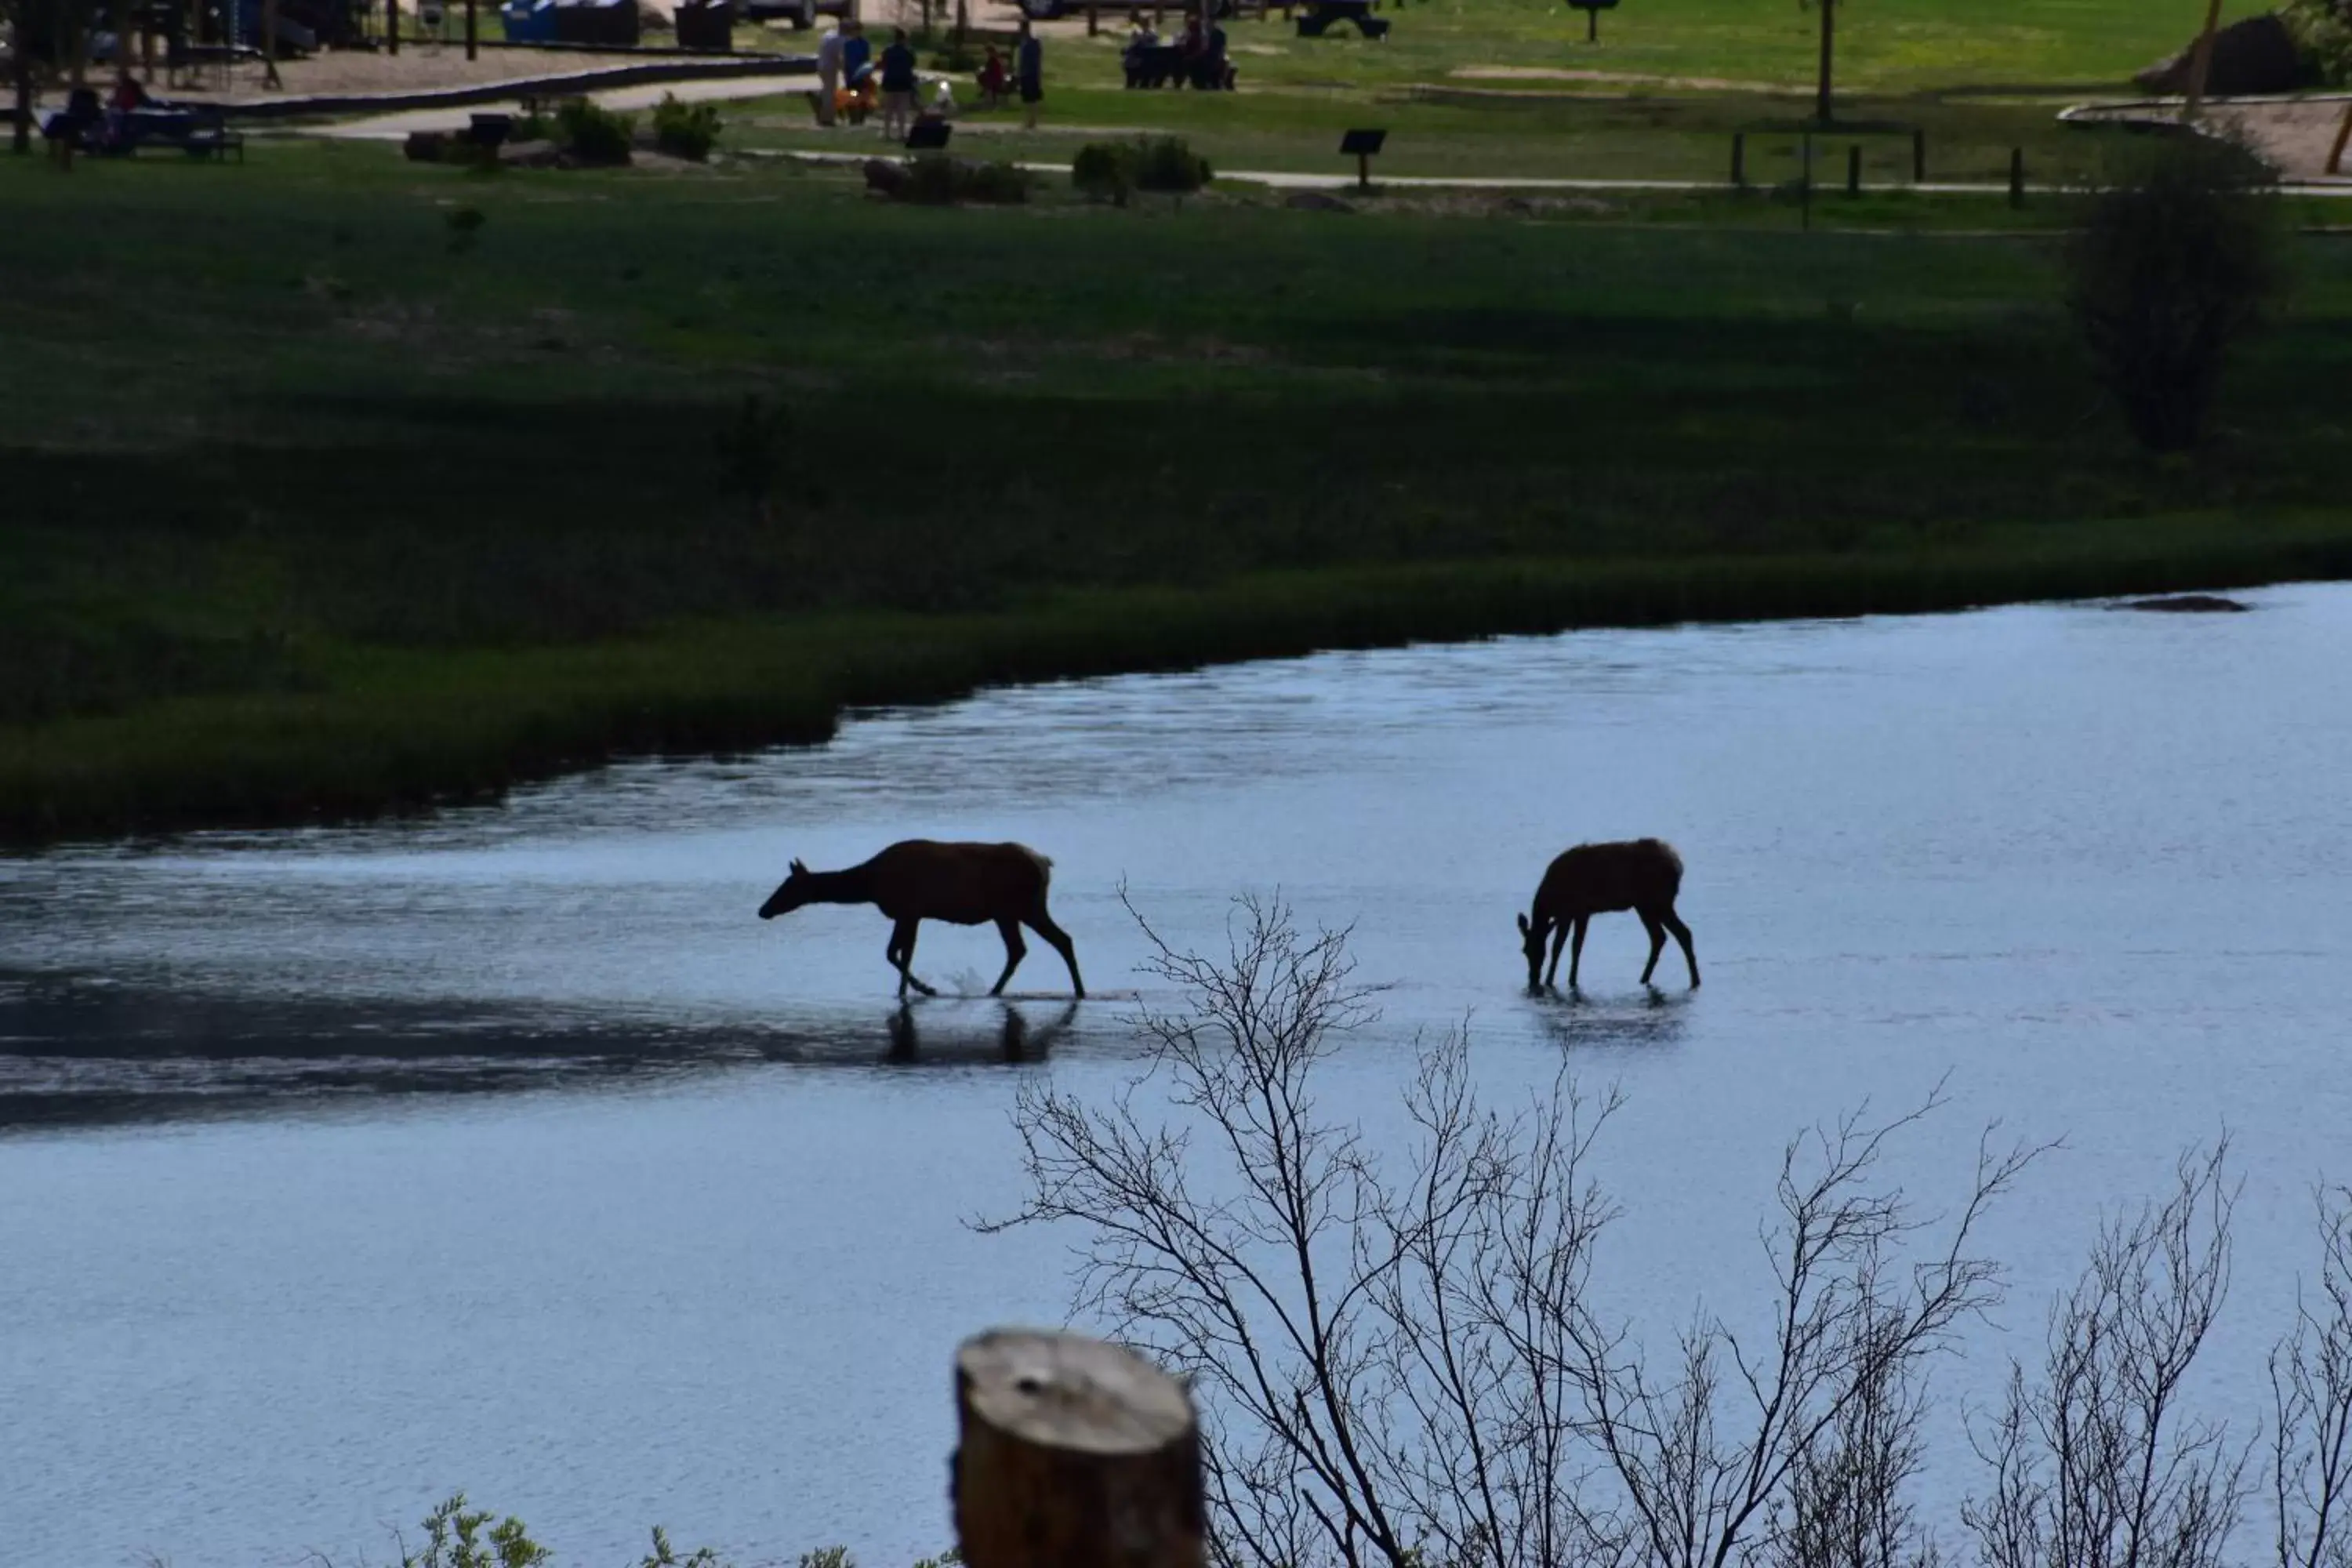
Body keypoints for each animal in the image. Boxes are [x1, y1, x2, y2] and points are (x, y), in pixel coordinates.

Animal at [753, 841, 1082, 1001]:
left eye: (787, 886)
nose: (763, 910)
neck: (871, 884)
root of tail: (1045, 863)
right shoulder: (910, 914)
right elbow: (900, 953)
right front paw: (912, 990)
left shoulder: (909, 911)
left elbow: (896, 954)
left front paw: (924, 989)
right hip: (1023, 909)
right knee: (1054, 941)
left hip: (1013, 908)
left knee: (1026, 947)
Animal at [1515, 841, 1703, 987]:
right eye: (1525, 951)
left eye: (1540, 951)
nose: (1533, 979)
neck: (1550, 900)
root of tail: (1679, 866)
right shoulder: (1579, 913)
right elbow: (1573, 946)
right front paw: (1568, 980)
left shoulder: (1573, 911)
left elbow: (1562, 947)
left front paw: (1553, 981)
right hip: (1647, 906)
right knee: (1663, 936)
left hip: (1656, 902)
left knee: (1679, 933)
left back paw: (1692, 980)